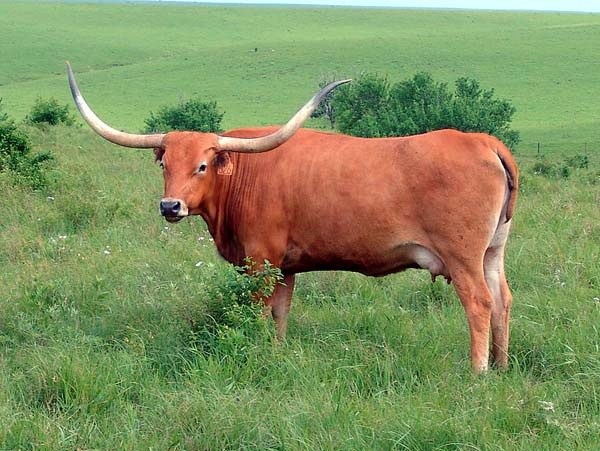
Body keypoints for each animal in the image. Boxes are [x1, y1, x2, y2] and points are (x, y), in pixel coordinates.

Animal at [67, 62, 518, 372]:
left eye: (202, 166)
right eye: (165, 164)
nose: (169, 206)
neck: (244, 174)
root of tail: (482, 140)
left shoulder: (259, 261)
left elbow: (258, 311)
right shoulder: (285, 267)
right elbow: (281, 313)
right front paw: (277, 352)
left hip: (463, 258)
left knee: (479, 302)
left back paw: (478, 371)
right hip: (492, 253)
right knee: (502, 301)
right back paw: (500, 365)